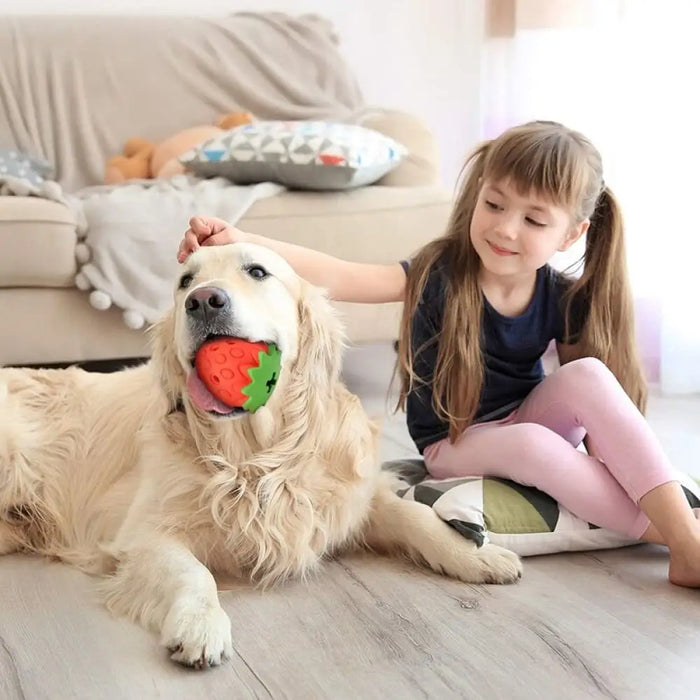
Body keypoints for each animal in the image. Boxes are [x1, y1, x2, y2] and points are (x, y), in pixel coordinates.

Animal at [0, 243, 520, 668]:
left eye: (257, 271)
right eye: (184, 281)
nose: (204, 300)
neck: (254, 455)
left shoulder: (348, 497)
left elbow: (414, 517)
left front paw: (478, 556)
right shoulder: (140, 532)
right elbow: (194, 574)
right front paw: (201, 626)